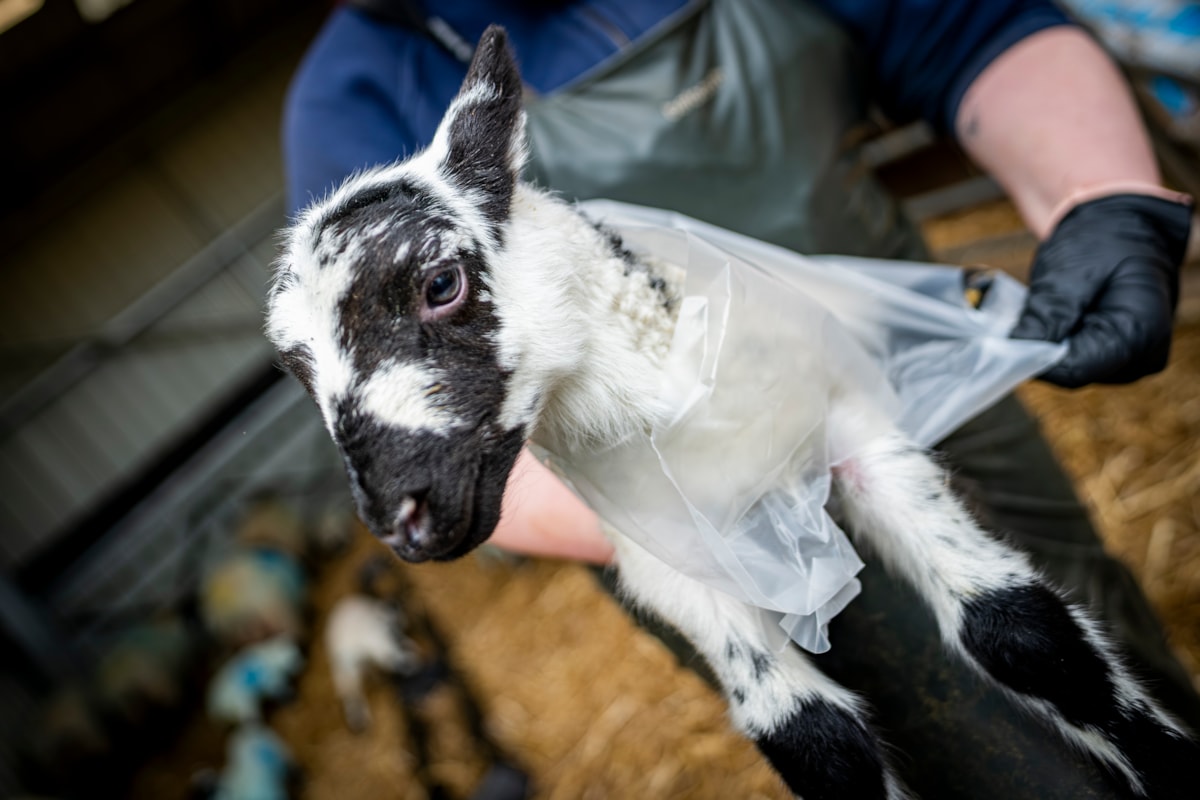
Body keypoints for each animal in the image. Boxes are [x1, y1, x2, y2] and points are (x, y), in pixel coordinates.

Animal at [265, 26, 1198, 799]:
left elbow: (1021, 630)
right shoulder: (663, 555)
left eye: (441, 283)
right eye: (294, 366)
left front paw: (1169, 765)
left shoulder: (852, 435)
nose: (404, 518)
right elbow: (815, 741)